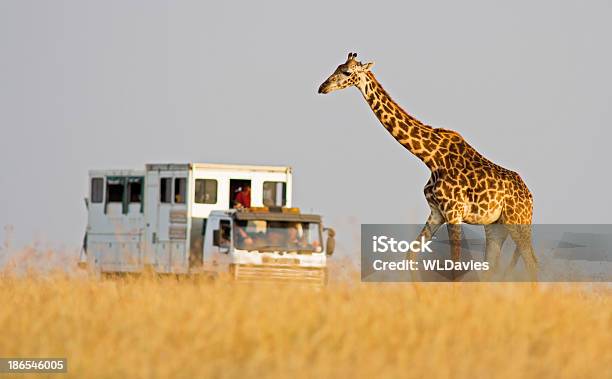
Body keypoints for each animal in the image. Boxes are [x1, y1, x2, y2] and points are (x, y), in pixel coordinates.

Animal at [318, 52, 536, 282]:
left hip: (518, 222)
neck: (430, 157)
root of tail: (530, 197)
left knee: (532, 262)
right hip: (495, 226)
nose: (322, 87)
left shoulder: (453, 212)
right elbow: (410, 254)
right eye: (337, 67)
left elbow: (455, 265)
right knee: (492, 267)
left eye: (346, 72)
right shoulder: (436, 212)